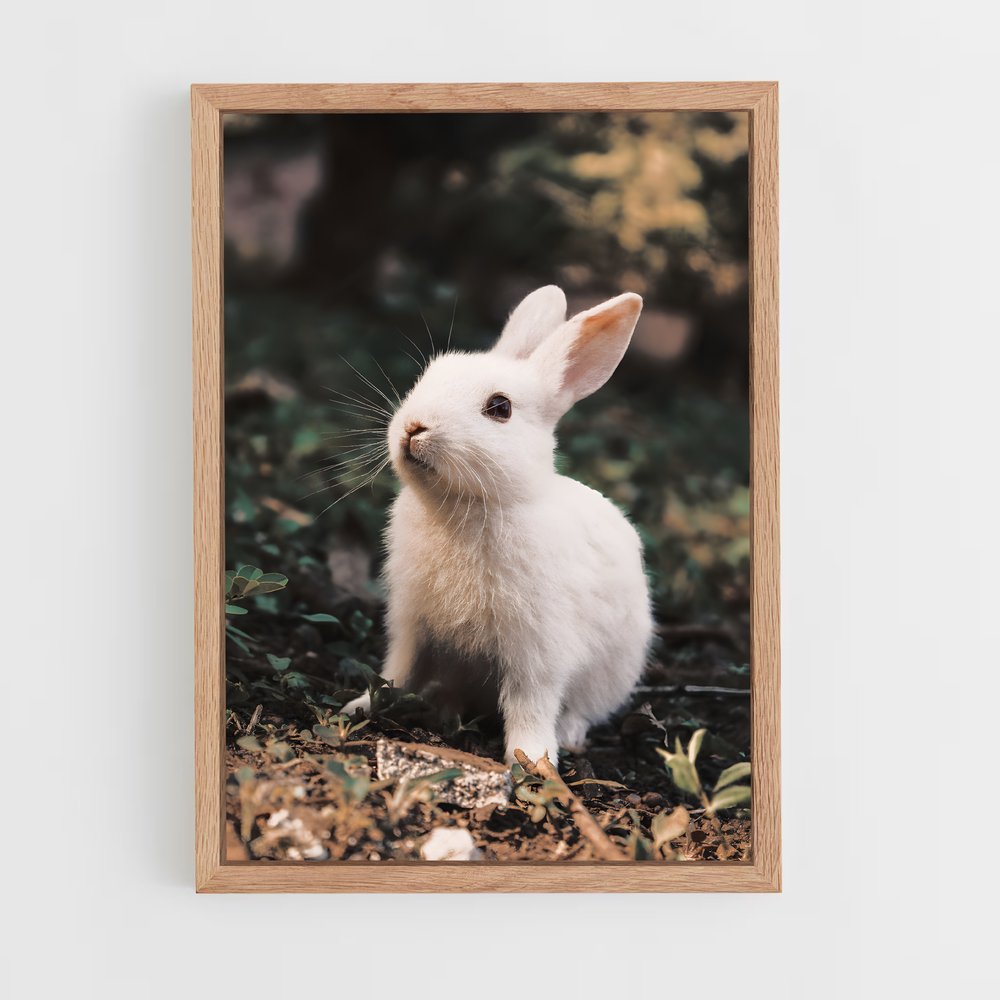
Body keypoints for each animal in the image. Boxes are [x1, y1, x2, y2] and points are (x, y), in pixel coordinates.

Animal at [342, 286, 654, 766]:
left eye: (500, 408)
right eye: (429, 376)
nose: (414, 427)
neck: (469, 506)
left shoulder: (538, 648)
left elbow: (531, 702)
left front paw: (533, 760)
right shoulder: (411, 623)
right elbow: (398, 670)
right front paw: (361, 706)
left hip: (612, 672)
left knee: (582, 709)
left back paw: (568, 736)